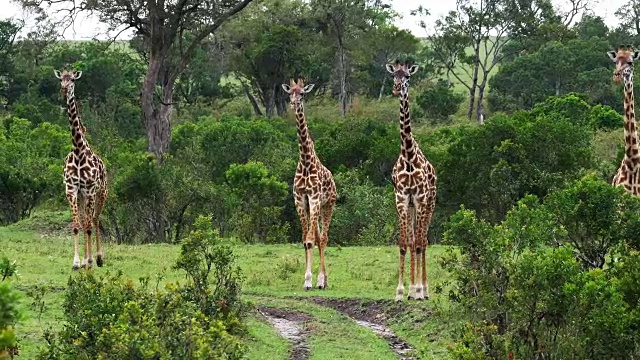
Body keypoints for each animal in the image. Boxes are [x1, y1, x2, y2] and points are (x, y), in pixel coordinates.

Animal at [54, 64, 108, 270]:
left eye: (72, 80)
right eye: (61, 79)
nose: (63, 90)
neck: (78, 151)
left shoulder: (90, 189)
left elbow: (88, 225)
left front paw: (90, 260)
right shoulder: (71, 189)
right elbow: (77, 225)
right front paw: (77, 262)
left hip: (101, 192)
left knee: (95, 220)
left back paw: (98, 258)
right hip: (82, 195)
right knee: (86, 220)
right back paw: (86, 260)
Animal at [282, 78, 338, 290]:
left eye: (303, 93)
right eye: (290, 93)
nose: (294, 103)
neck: (305, 162)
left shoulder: (314, 198)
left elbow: (311, 240)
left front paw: (312, 280)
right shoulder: (300, 200)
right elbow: (305, 240)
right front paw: (306, 280)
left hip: (328, 205)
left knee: (324, 238)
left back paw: (322, 280)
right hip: (315, 207)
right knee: (319, 238)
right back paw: (325, 279)